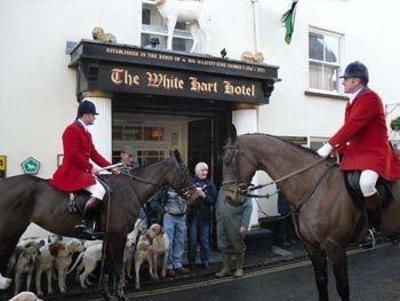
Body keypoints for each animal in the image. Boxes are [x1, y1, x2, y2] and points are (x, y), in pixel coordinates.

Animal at [0, 150, 195, 300]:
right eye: (185, 171)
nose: (196, 194)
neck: (129, 190)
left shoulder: (109, 235)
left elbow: (108, 266)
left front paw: (107, 294)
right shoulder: (119, 234)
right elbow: (116, 267)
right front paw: (120, 295)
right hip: (9, 232)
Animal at [223, 134, 400, 300]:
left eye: (228, 160)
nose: (229, 197)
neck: (314, 186)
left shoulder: (335, 246)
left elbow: (343, 288)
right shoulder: (312, 246)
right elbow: (321, 282)